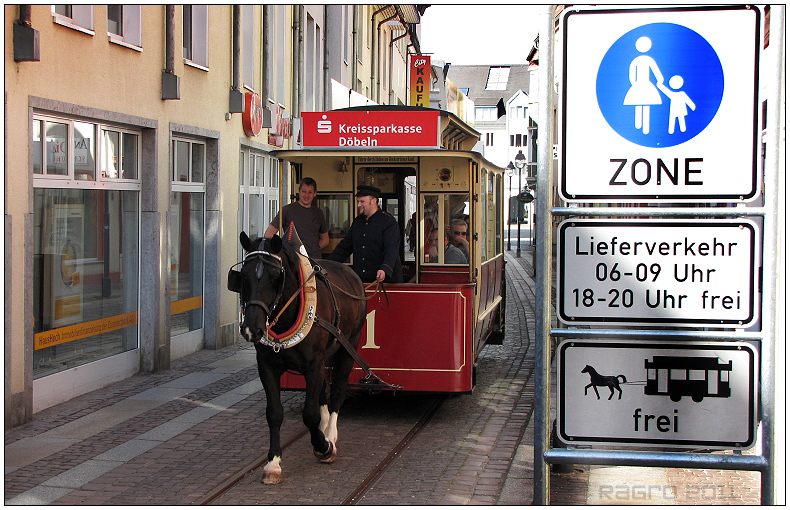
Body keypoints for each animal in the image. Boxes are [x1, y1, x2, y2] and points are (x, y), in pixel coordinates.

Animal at [227, 233, 366, 484]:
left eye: (275, 276)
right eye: (243, 275)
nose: (251, 328)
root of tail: (349, 272)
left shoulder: (313, 365)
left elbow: (309, 414)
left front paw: (323, 447)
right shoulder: (268, 367)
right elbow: (274, 413)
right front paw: (273, 464)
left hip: (347, 347)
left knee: (337, 390)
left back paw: (330, 433)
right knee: (322, 391)